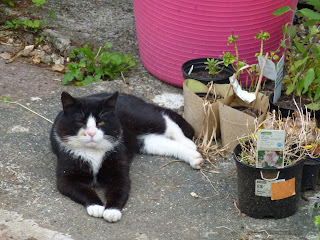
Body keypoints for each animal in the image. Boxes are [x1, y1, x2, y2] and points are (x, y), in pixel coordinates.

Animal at [51, 91, 204, 222]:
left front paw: (112, 211)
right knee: (167, 143)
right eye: (80, 122)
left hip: (143, 118)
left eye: (101, 122)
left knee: (168, 123)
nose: (91, 133)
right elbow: (83, 190)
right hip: (143, 141)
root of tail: (130, 96)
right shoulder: (66, 177)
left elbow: (120, 188)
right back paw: (194, 157)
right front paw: (96, 206)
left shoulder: (119, 171)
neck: (93, 153)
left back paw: (189, 143)